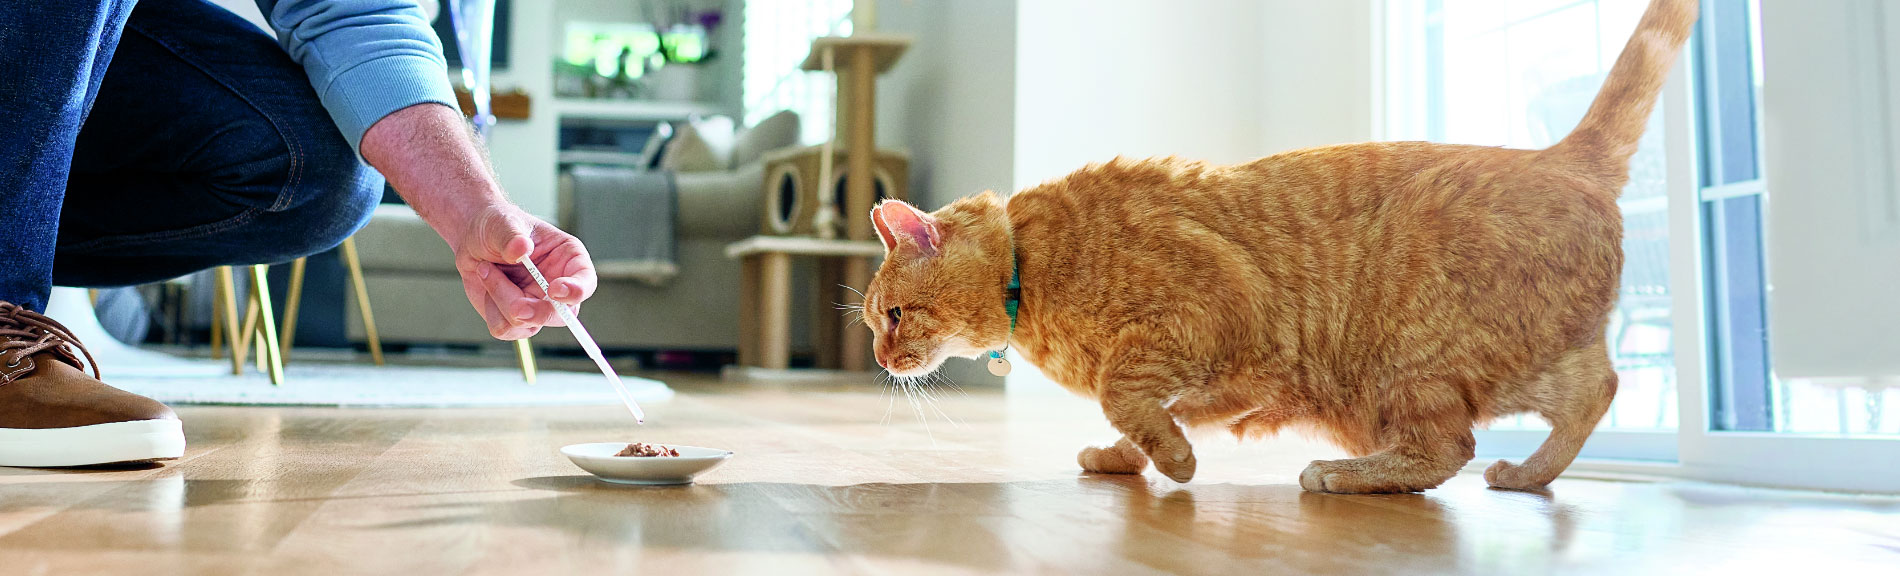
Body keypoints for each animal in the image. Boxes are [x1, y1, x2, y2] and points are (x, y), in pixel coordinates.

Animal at [862, 1, 1694, 498]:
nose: (880, 359)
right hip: (1526, 358)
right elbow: (1156, 413)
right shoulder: (1232, 375)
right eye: (873, 324)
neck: (1029, 269)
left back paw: (1343, 472)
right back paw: (1526, 474)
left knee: (1448, 447)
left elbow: (1126, 396)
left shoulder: (1201, 320)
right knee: (1596, 391)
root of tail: (1562, 157)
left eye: (894, 316)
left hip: (1416, 357)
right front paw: (1130, 456)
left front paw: (1173, 460)